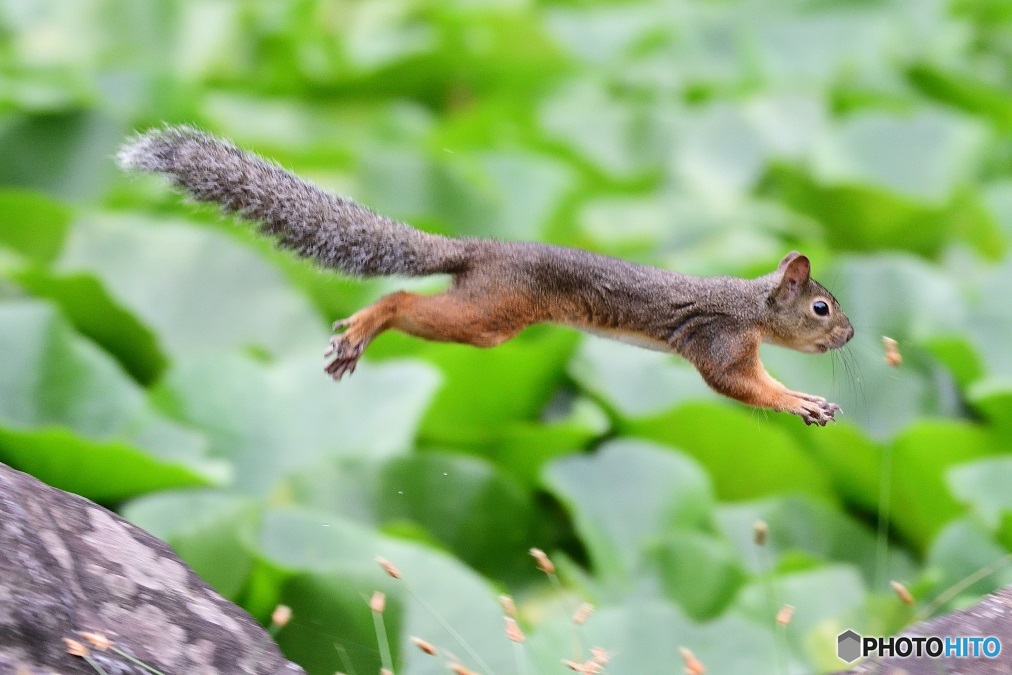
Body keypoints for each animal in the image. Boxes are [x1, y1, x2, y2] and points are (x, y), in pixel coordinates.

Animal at [122, 123, 858, 425]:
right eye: (821, 307)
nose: (851, 335)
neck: (753, 307)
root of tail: (477, 248)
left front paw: (808, 398)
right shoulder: (720, 343)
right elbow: (739, 386)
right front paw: (801, 401)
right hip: (488, 318)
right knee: (400, 297)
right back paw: (362, 329)